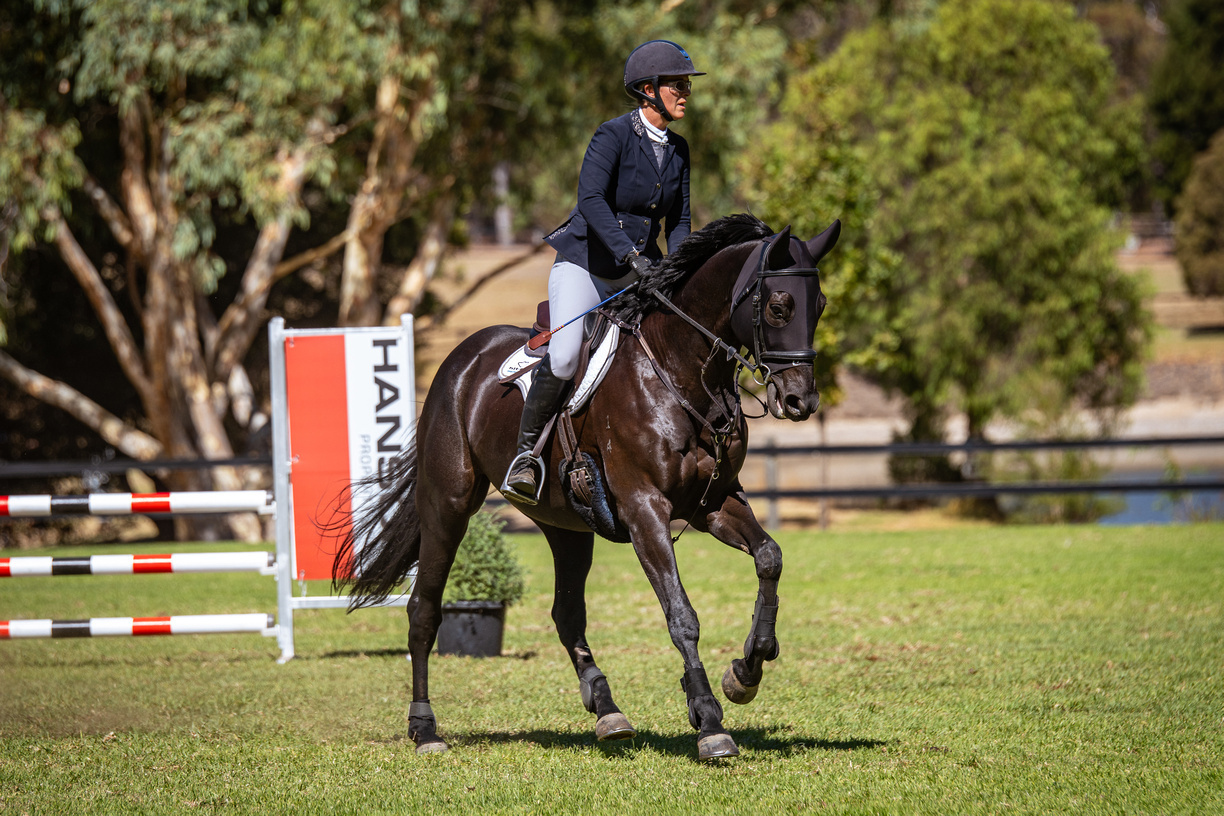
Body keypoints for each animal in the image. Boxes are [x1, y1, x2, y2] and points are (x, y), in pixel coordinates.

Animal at [334, 212, 840, 760]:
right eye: (779, 305)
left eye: (821, 305)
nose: (801, 401)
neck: (680, 369)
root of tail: (462, 359)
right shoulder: (644, 509)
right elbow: (681, 614)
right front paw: (709, 722)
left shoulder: (714, 504)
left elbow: (770, 557)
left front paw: (744, 672)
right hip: (447, 505)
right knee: (424, 611)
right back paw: (425, 729)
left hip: (566, 525)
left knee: (567, 614)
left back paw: (608, 711)